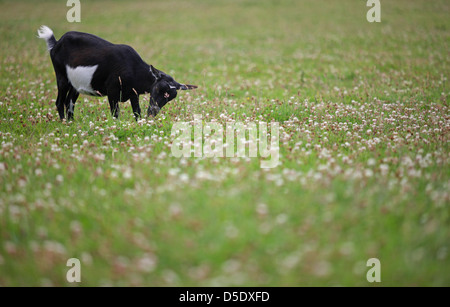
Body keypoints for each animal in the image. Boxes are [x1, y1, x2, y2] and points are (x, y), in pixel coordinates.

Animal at [39, 25, 198, 121]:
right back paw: (64, 123)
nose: (152, 112)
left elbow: (137, 111)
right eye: (158, 89)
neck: (134, 69)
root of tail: (56, 43)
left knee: (69, 102)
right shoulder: (112, 91)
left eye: (170, 97)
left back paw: (71, 123)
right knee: (60, 101)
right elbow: (115, 114)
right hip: (62, 77)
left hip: (75, 84)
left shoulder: (133, 93)